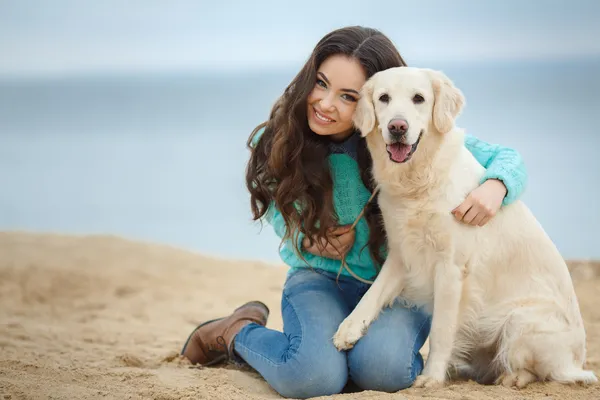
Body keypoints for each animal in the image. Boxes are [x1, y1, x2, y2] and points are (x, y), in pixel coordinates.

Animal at [332, 67, 596, 390]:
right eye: (383, 98)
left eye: (418, 98)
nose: (397, 127)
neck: (418, 180)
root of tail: (576, 361)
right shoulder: (402, 253)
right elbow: (373, 293)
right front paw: (349, 328)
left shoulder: (451, 267)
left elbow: (441, 330)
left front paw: (431, 377)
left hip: (521, 321)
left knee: (543, 372)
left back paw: (512, 377)